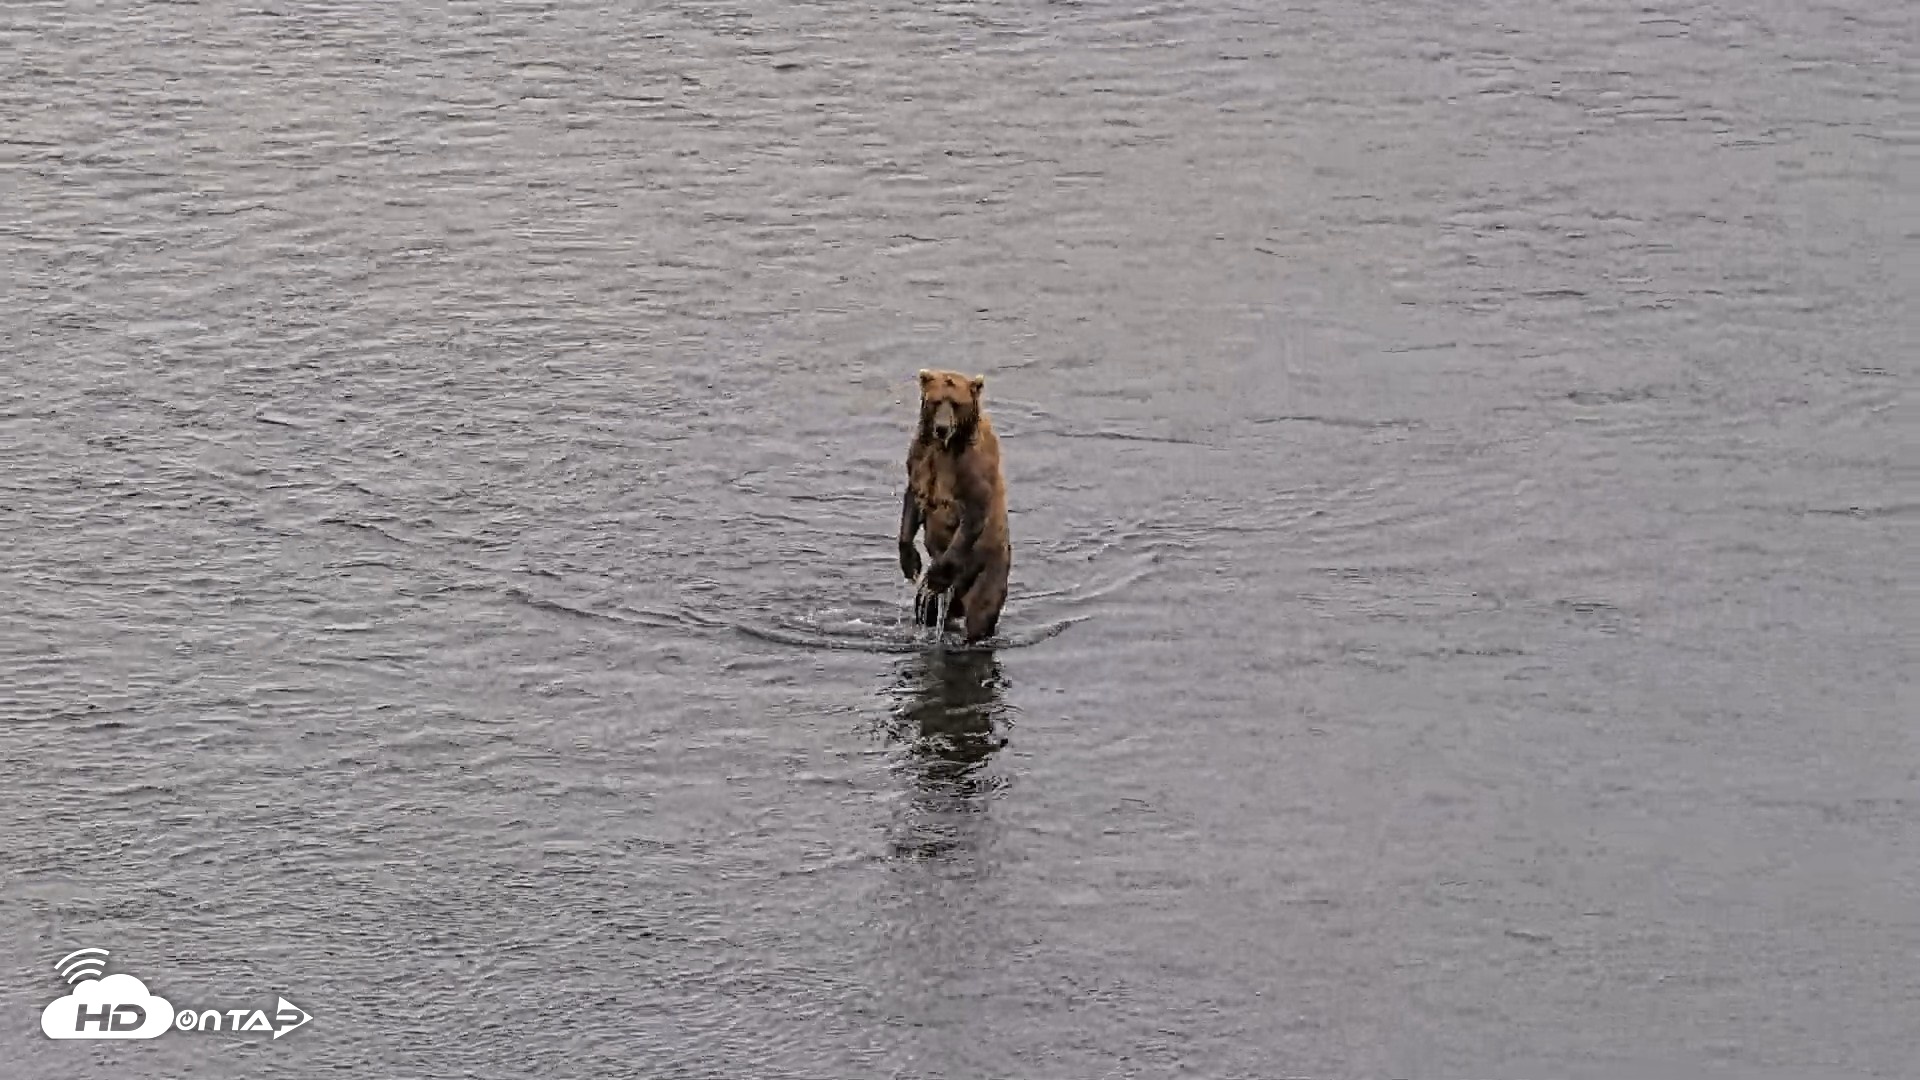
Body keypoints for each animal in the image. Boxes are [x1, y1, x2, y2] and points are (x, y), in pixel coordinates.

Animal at [897, 368, 1011, 644]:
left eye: (957, 404)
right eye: (936, 400)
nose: (941, 428)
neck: (945, 447)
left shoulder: (973, 467)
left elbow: (973, 514)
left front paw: (937, 575)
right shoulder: (919, 456)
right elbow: (913, 497)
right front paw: (910, 562)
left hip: (988, 570)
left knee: (980, 613)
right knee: (927, 609)